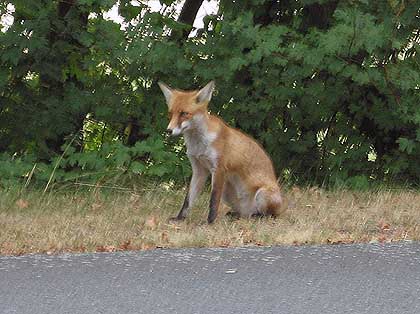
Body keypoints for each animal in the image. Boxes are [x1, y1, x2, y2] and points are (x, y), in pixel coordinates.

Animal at [158, 81, 286, 223]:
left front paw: (209, 222)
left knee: (270, 215)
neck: (199, 145)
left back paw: (257, 217)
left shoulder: (219, 169)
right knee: (243, 213)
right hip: (227, 192)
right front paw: (179, 218)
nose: (168, 131)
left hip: (263, 194)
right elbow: (188, 200)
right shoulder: (199, 170)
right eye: (171, 113)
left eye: (184, 113)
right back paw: (237, 216)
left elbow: (213, 200)